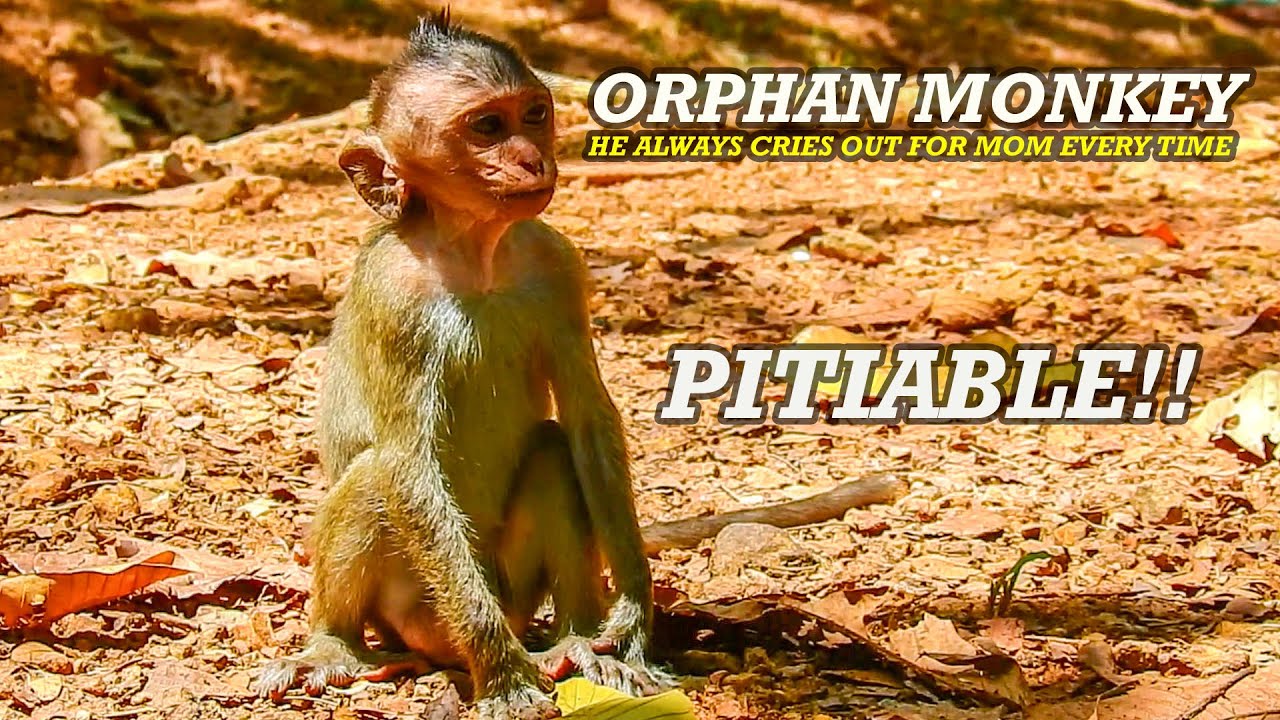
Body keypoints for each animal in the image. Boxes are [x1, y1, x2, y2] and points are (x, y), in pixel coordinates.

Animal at [256, 12, 902, 719]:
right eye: (488, 127)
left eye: (534, 114)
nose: (532, 159)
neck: (475, 254)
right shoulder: (392, 294)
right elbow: (408, 462)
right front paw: (502, 672)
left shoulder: (557, 265)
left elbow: (589, 420)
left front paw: (635, 617)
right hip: (413, 606)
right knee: (380, 475)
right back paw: (339, 643)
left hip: (514, 589)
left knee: (552, 450)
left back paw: (577, 641)